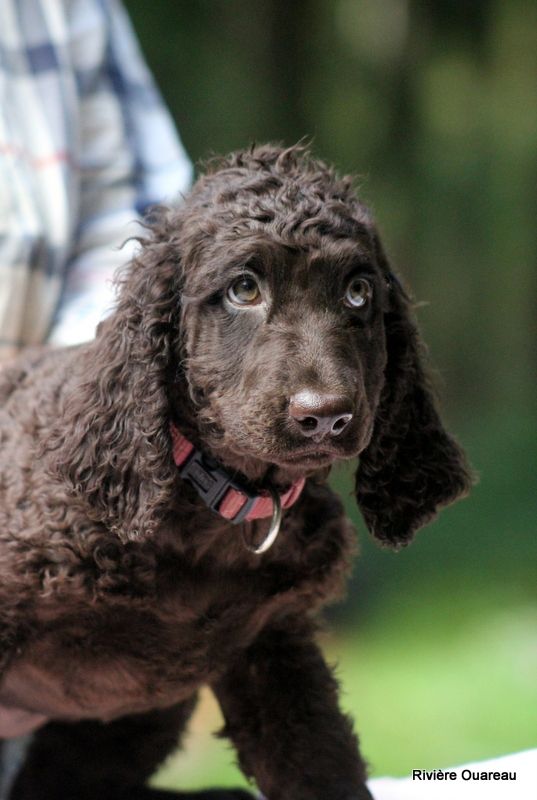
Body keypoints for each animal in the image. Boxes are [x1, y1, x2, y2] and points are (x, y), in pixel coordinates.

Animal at [0, 145, 468, 800]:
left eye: (358, 293)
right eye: (243, 289)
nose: (325, 416)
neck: (217, 505)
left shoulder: (274, 649)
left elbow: (323, 769)